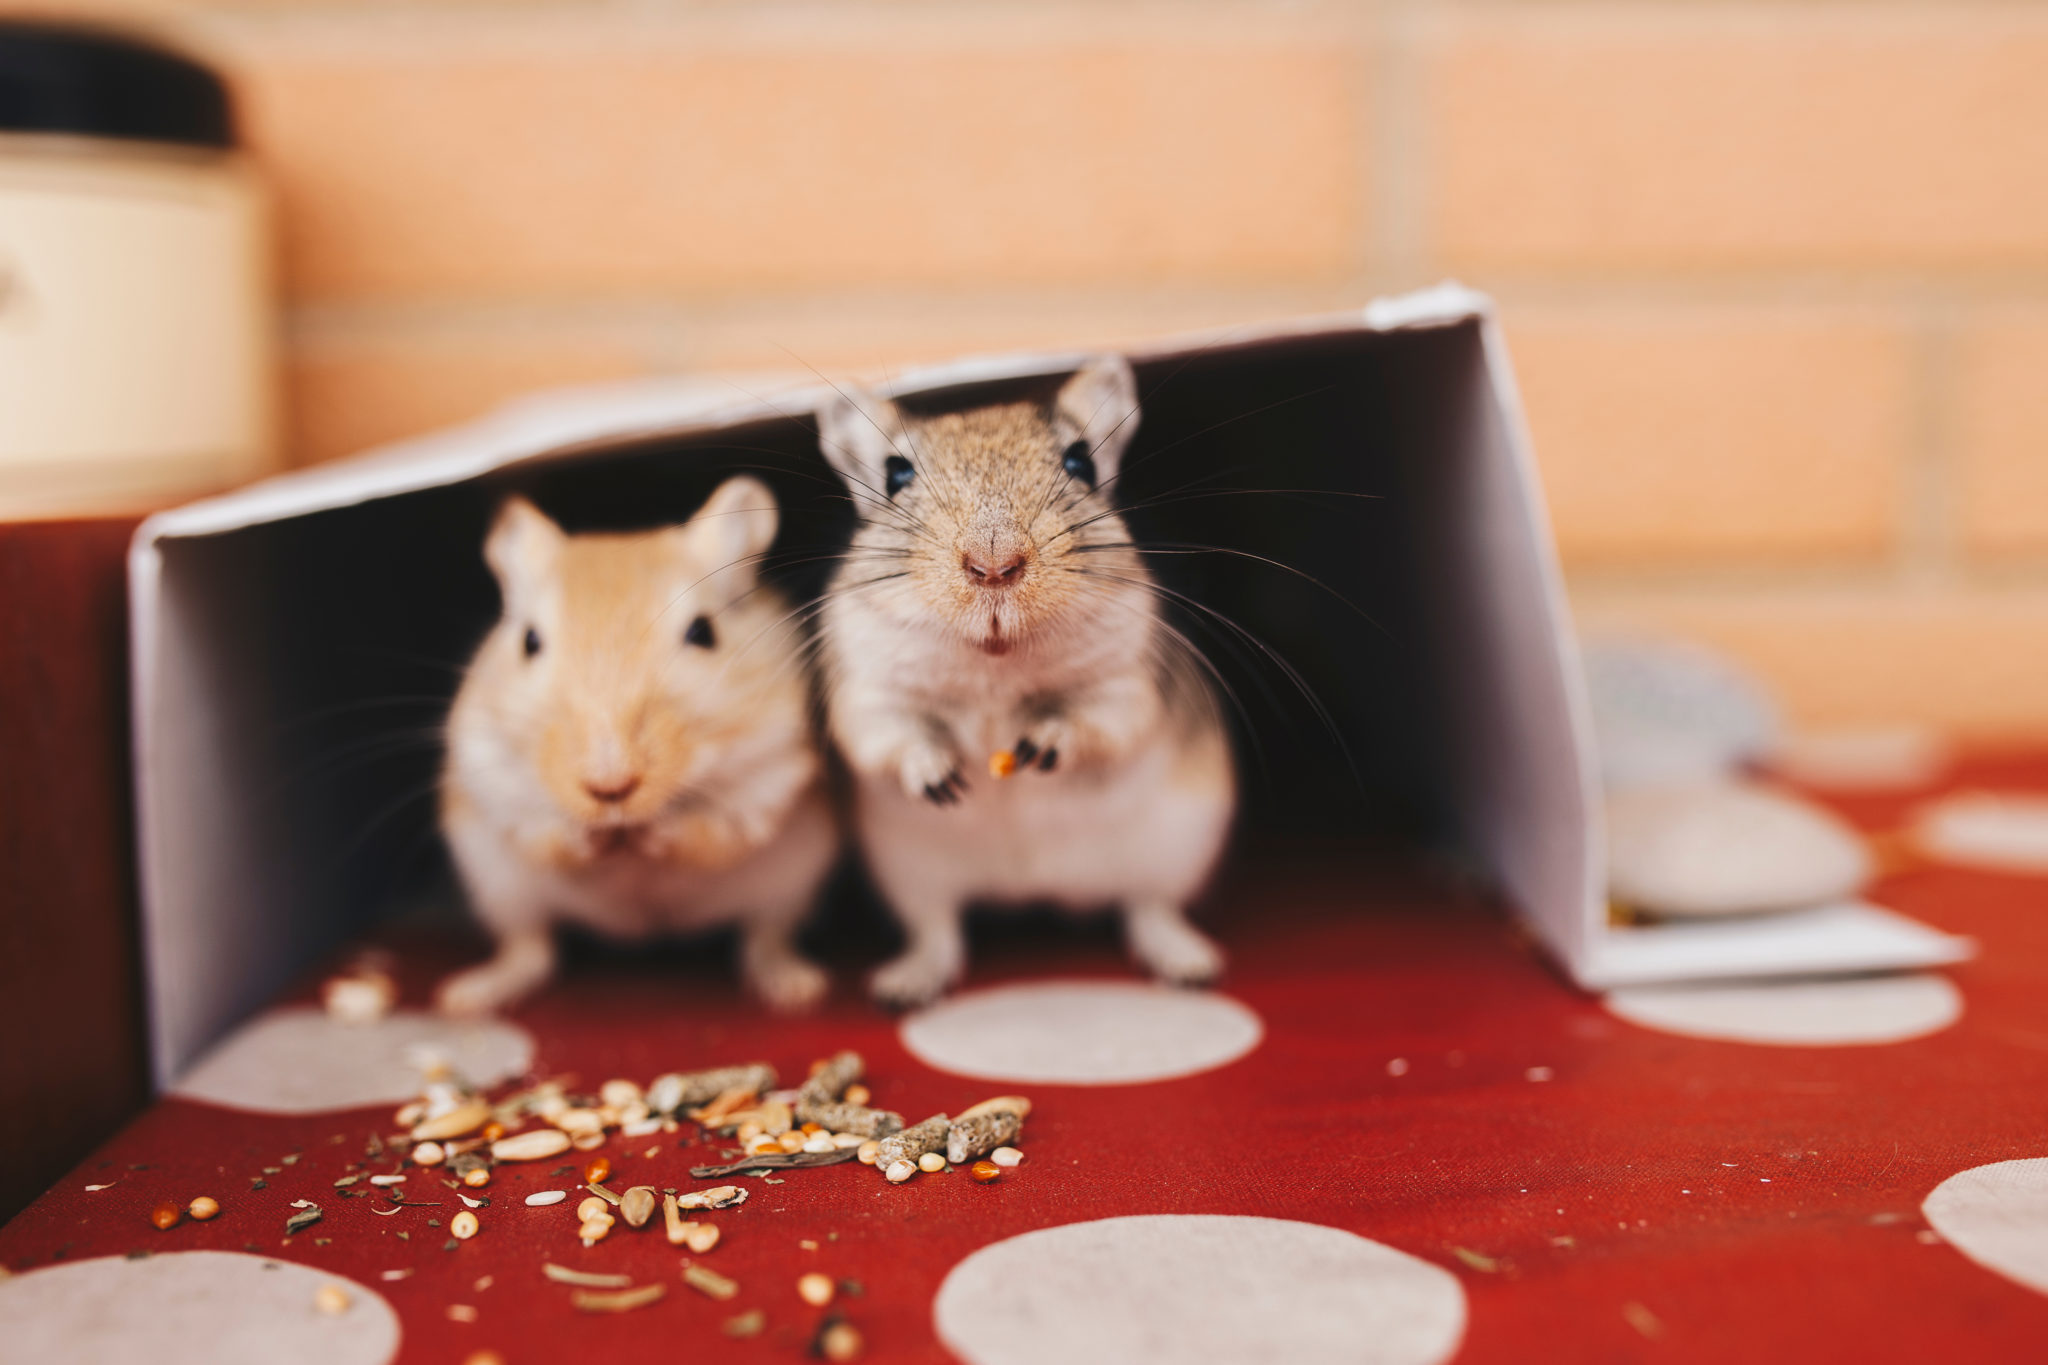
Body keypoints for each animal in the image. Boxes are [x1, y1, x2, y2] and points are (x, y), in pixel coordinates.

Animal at [436, 475, 837, 1016]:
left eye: (702, 632)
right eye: (529, 641)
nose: (610, 787)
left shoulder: (774, 772)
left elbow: (710, 833)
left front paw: (649, 834)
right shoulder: (490, 774)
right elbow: (547, 836)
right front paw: (599, 837)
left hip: (790, 881)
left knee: (765, 935)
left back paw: (795, 988)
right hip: (501, 887)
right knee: (531, 947)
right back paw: (466, 996)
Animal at [814, 356, 1236, 1006]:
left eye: (1081, 462)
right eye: (895, 473)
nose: (994, 567)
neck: (996, 666)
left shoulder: (1126, 685)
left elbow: (1089, 721)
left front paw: (1038, 749)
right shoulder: (868, 694)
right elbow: (896, 738)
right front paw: (943, 781)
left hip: (1176, 851)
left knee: (1149, 909)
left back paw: (1188, 966)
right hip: (911, 874)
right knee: (938, 929)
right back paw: (905, 984)